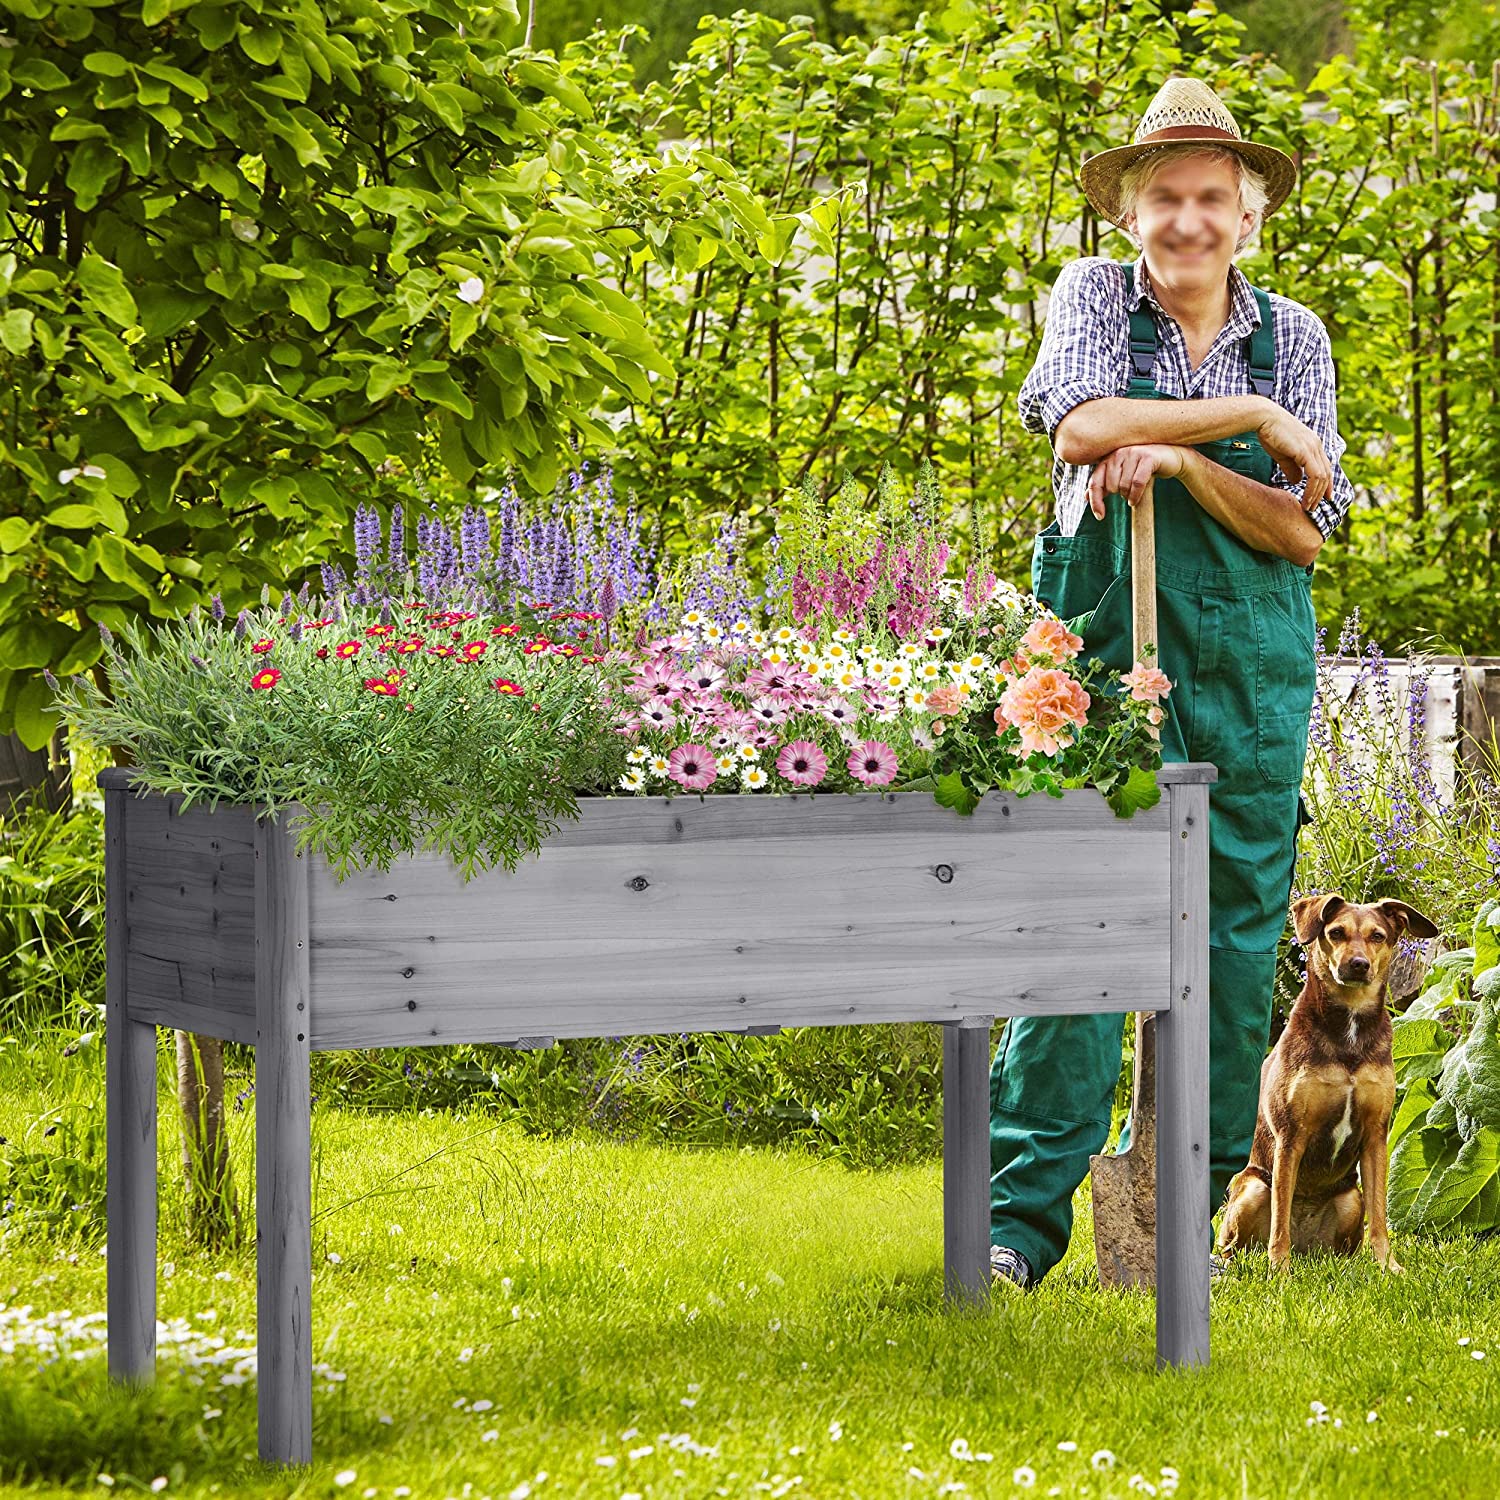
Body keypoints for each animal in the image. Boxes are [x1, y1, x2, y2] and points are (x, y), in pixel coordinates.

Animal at [1218, 888, 1440, 1278]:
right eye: (1335, 932)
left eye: (1377, 936)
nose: (1358, 964)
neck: (1348, 1030)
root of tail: (1306, 1246)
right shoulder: (1290, 1136)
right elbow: (1279, 1219)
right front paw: (1279, 1271)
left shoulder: (1375, 1135)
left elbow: (1380, 1217)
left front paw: (1389, 1267)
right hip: (1251, 1190)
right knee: (1235, 1241)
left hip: (1351, 1200)